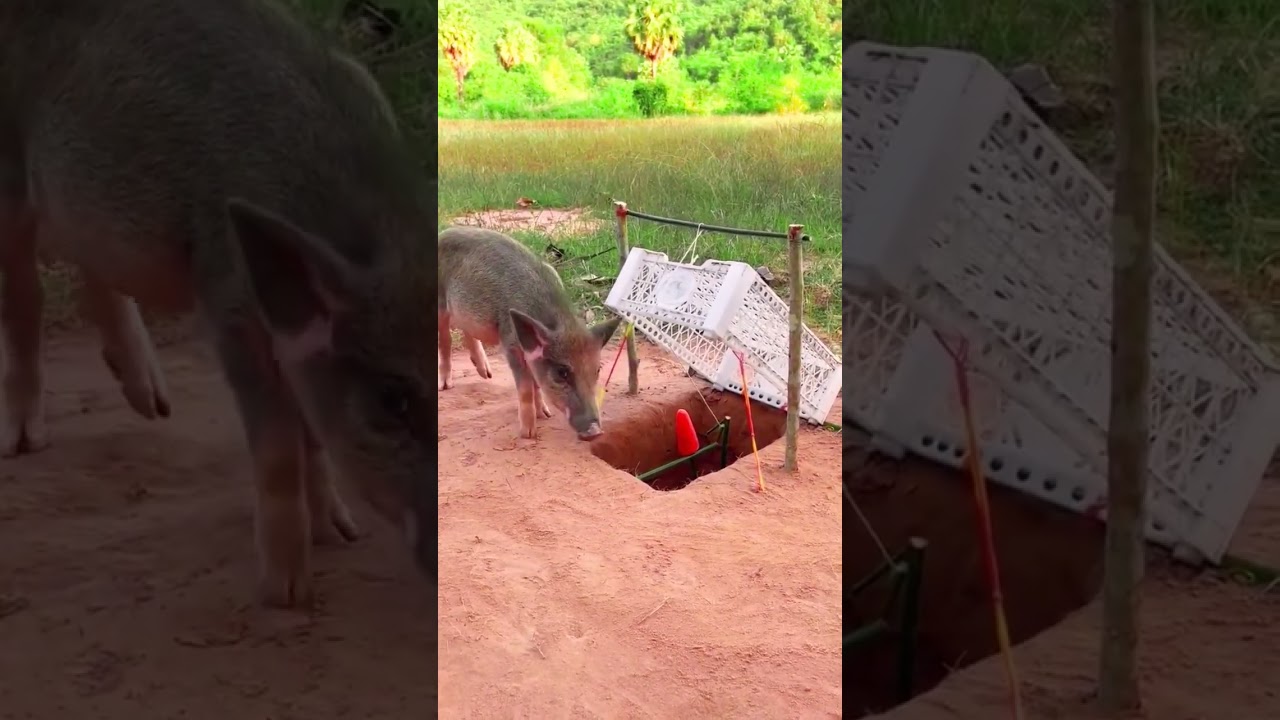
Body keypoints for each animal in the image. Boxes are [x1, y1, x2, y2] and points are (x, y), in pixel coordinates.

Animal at [0, 0, 438, 607]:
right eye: (392, 400)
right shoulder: (228, 303)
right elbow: (277, 443)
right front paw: (285, 593)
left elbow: (311, 434)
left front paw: (342, 533)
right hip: (7, 168)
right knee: (24, 291)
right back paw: (23, 443)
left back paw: (153, 404)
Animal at [437, 227, 621, 441]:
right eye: (562, 372)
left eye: (597, 370)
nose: (595, 431)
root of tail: (443, 233)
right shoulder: (510, 344)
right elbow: (525, 388)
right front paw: (528, 434)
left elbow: (536, 384)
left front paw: (545, 414)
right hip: (440, 304)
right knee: (445, 339)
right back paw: (445, 385)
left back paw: (487, 374)